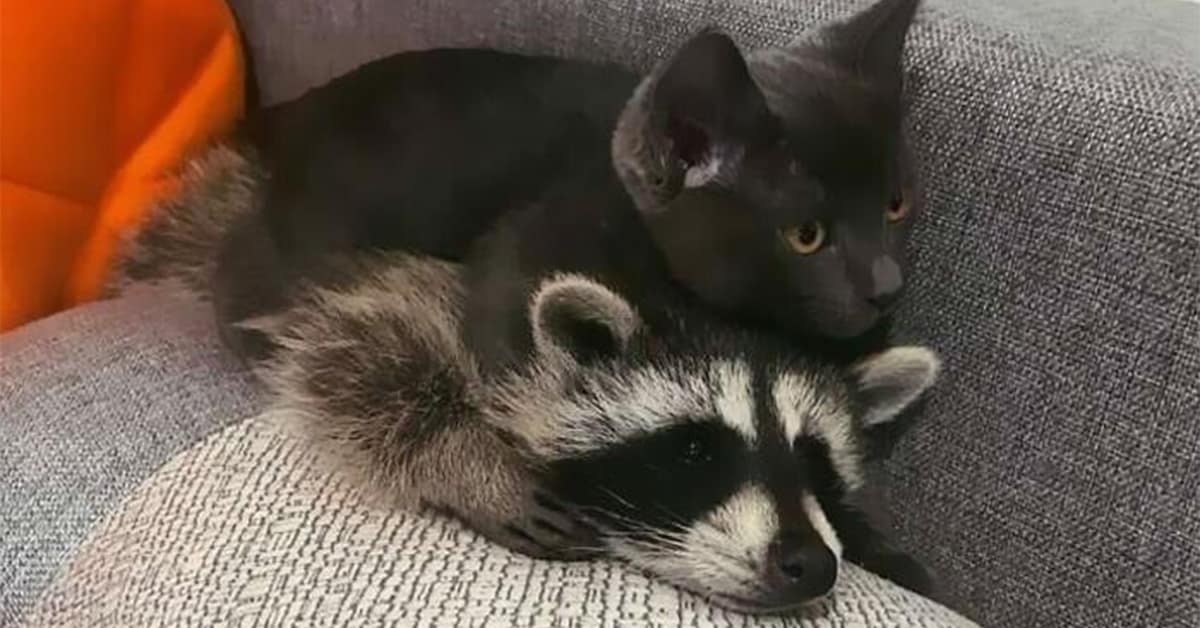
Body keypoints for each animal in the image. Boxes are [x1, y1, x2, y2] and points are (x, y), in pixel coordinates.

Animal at [238, 250, 940, 612]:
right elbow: (358, 347)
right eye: (694, 451)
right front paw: (465, 459)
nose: (809, 564)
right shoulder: (469, 316)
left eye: (816, 465)